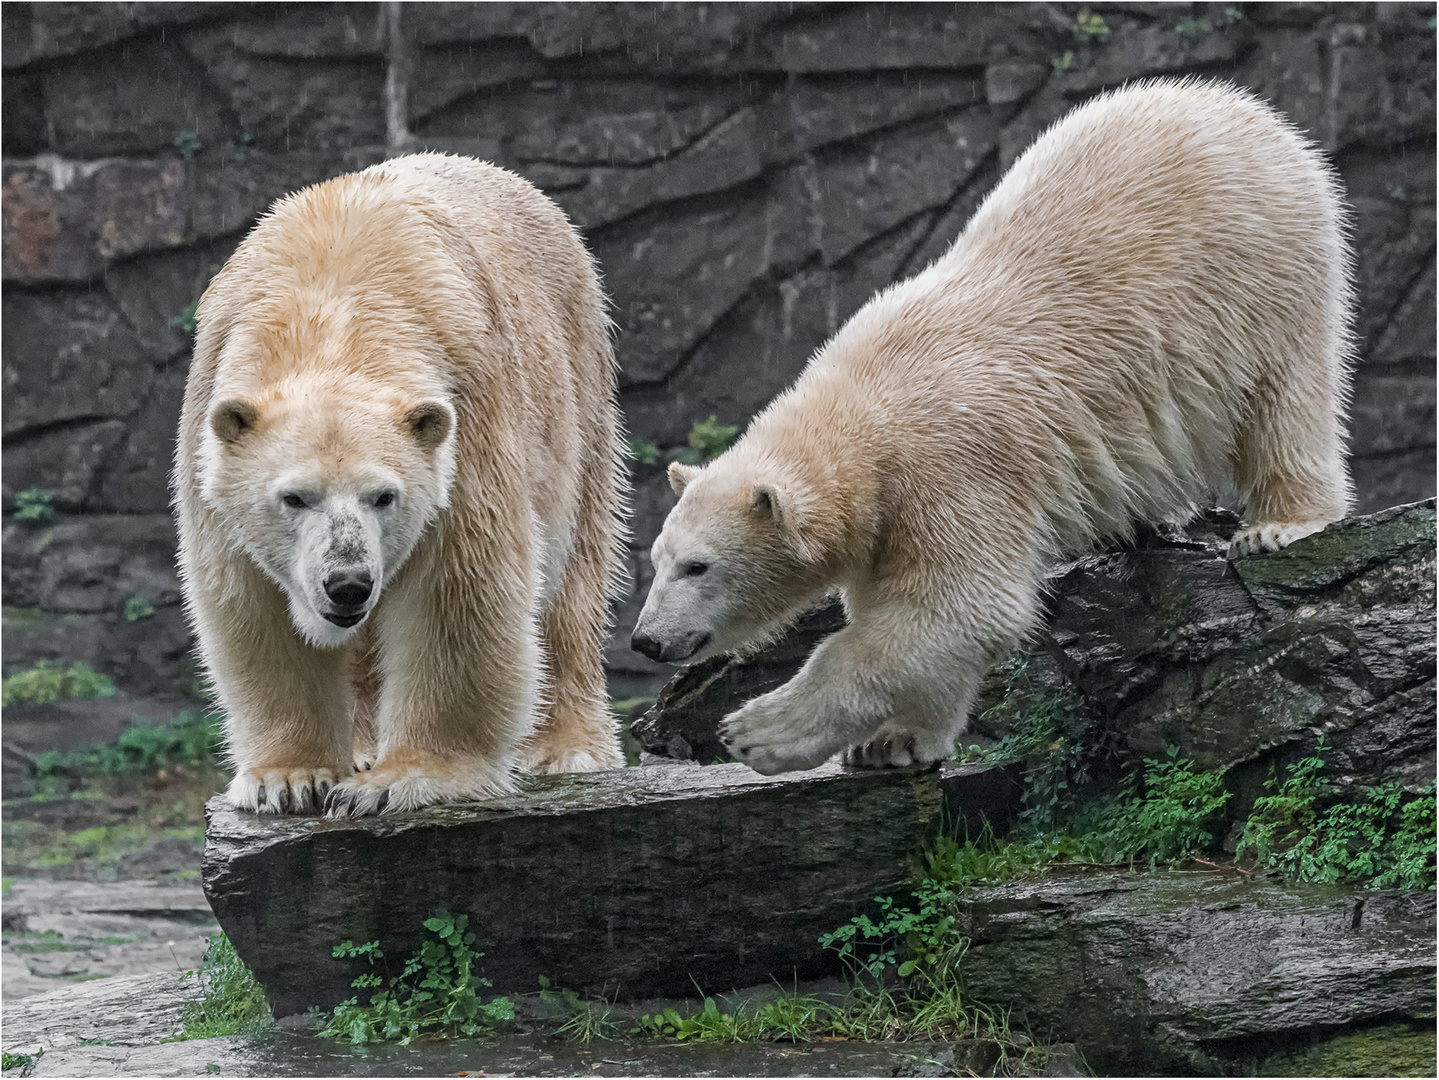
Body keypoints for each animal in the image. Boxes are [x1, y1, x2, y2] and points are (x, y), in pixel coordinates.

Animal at [172, 152, 624, 816]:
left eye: (384, 496)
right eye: (294, 497)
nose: (348, 584)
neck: (331, 305)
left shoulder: (463, 412)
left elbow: (459, 587)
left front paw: (402, 779)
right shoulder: (211, 424)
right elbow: (249, 603)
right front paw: (289, 778)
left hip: (578, 376)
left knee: (573, 575)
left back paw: (568, 746)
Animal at [630, 82, 1346, 776]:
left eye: (697, 566)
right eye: (659, 559)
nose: (646, 639)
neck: (863, 408)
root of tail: (1243, 108)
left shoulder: (952, 460)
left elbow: (963, 605)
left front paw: (758, 730)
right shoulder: (887, 514)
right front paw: (894, 742)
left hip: (1256, 273)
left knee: (1286, 398)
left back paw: (1277, 524)